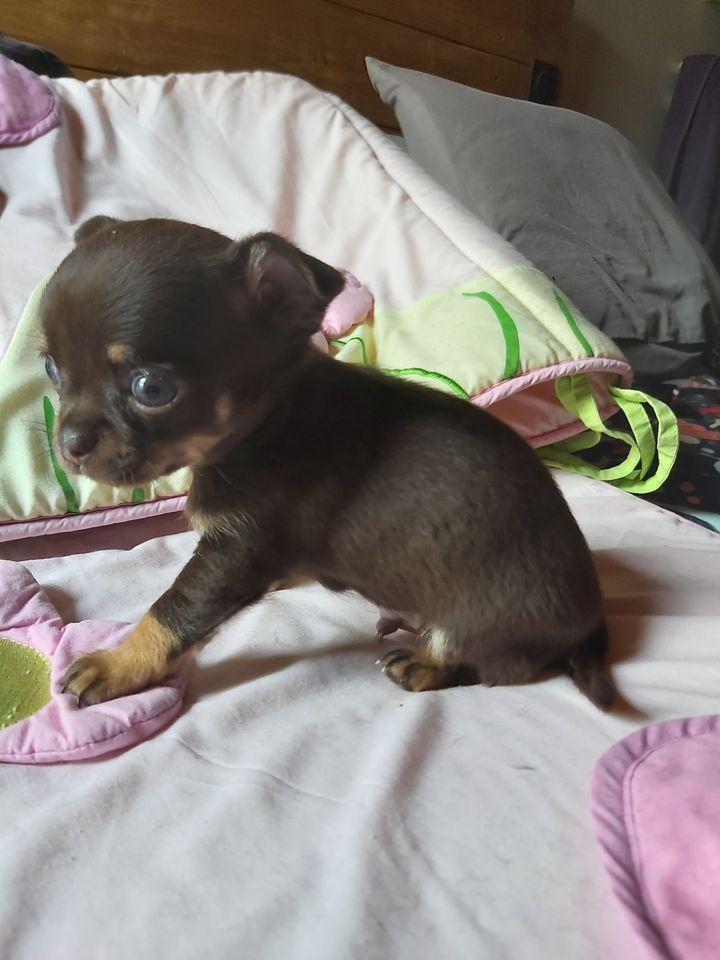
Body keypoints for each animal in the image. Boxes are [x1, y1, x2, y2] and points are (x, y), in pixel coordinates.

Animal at [40, 216, 615, 709]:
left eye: (152, 389)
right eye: (49, 367)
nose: (69, 442)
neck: (269, 424)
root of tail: (591, 620)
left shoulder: (236, 550)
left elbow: (170, 613)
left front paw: (117, 665)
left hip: (479, 622)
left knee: (486, 664)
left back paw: (424, 664)